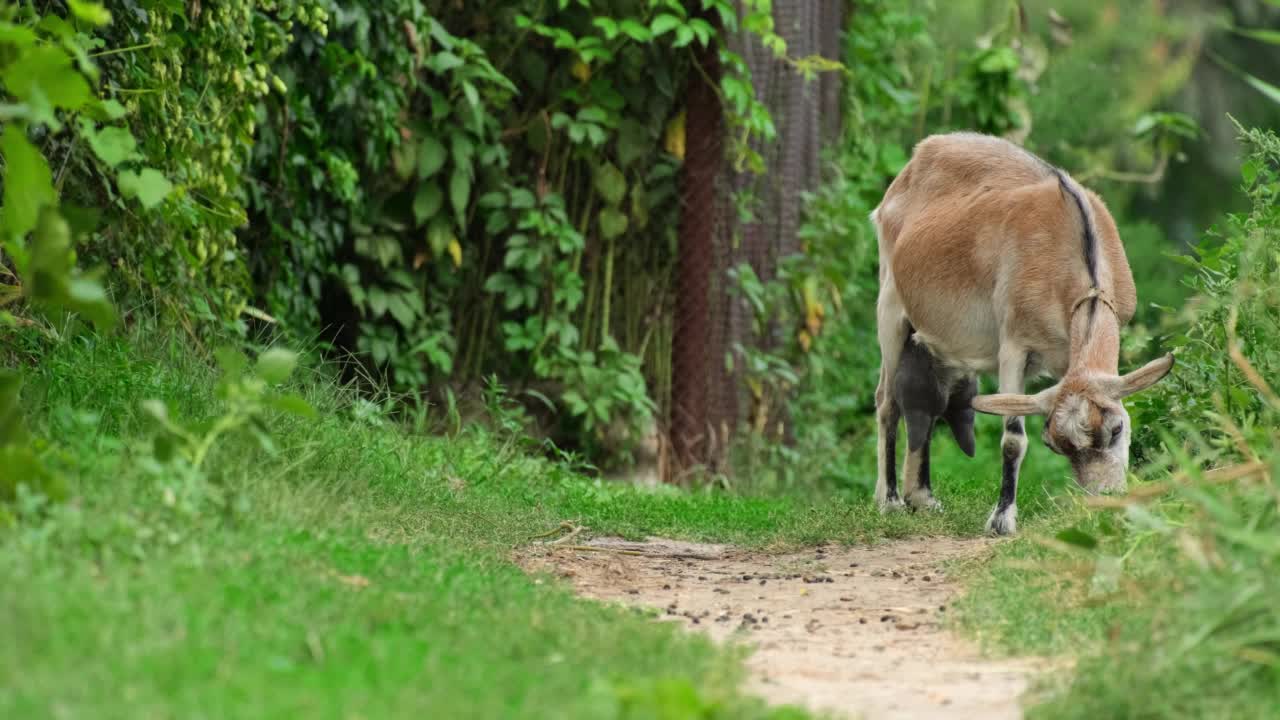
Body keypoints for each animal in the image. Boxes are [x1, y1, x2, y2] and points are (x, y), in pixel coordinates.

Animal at [870, 131, 1172, 530]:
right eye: (1054, 445)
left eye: (1117, 429)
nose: (1105, 501)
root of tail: (917, 158)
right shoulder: (1014, 344)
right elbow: (1012, 438)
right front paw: (1001, 519)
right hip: (889, 305)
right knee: (887, 401)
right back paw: (889, 499)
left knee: (925, 400)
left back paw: (921, 498)